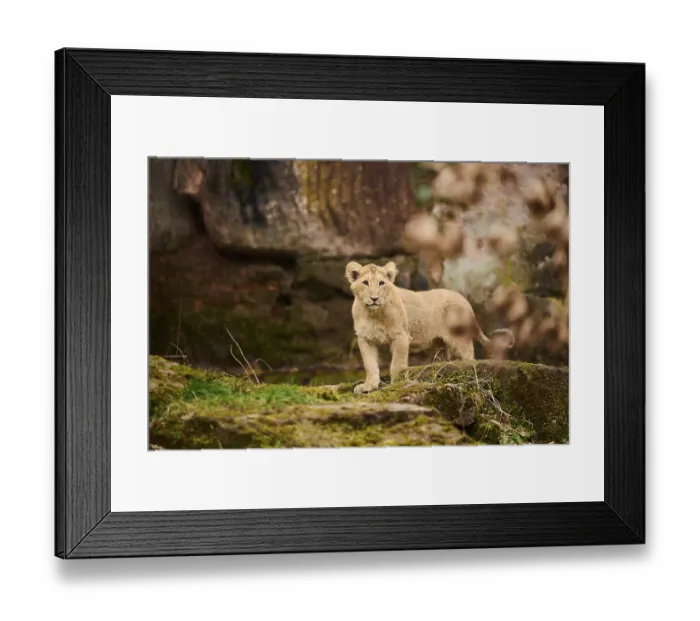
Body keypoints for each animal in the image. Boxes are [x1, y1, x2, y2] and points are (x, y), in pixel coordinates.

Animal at [346, 261, 515, 394]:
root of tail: (465, 301)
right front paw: (369, 386)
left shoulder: (401, 336)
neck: (373, 314)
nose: (374, 298)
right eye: (365, 283)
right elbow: (370, 364)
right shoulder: (365, 339)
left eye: (381, 283)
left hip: (459, 339)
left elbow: (397, 365)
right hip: (439, 344)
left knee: (469, 358)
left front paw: (396, 385)